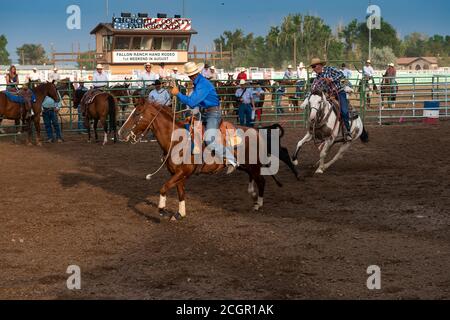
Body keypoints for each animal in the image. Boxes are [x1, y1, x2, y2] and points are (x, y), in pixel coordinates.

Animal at [118, 99, 284, 221]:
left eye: (137, 113)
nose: (121, 132)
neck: (177, 140)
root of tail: (256, 130)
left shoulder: (183, 172)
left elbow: (164, 188)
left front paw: (162, 210)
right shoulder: (178, 175)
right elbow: (180, 193)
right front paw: (180, 214)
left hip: (253, 164)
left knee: (261, 181)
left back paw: (258, 204)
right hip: (246, 165)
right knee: (255, 179)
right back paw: (254, 196)